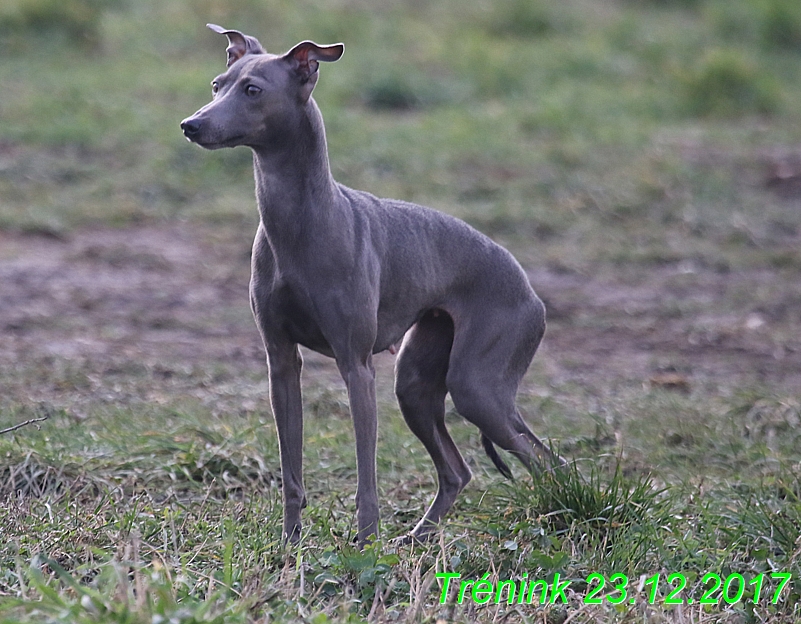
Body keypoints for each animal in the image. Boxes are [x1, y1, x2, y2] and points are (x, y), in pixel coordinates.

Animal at [180, 26, 564, 544]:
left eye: (253, 90)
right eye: (217, 84)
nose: (191, 125)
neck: (303, 221)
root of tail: (531, 292)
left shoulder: (355, 365)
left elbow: (366, 473)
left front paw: (364, 543)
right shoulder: (281, 362)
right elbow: (291, 468)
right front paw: (290, 543)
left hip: (477, 387)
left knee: (547, 462)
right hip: (417, 384)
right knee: (458, 469)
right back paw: (416, 538)